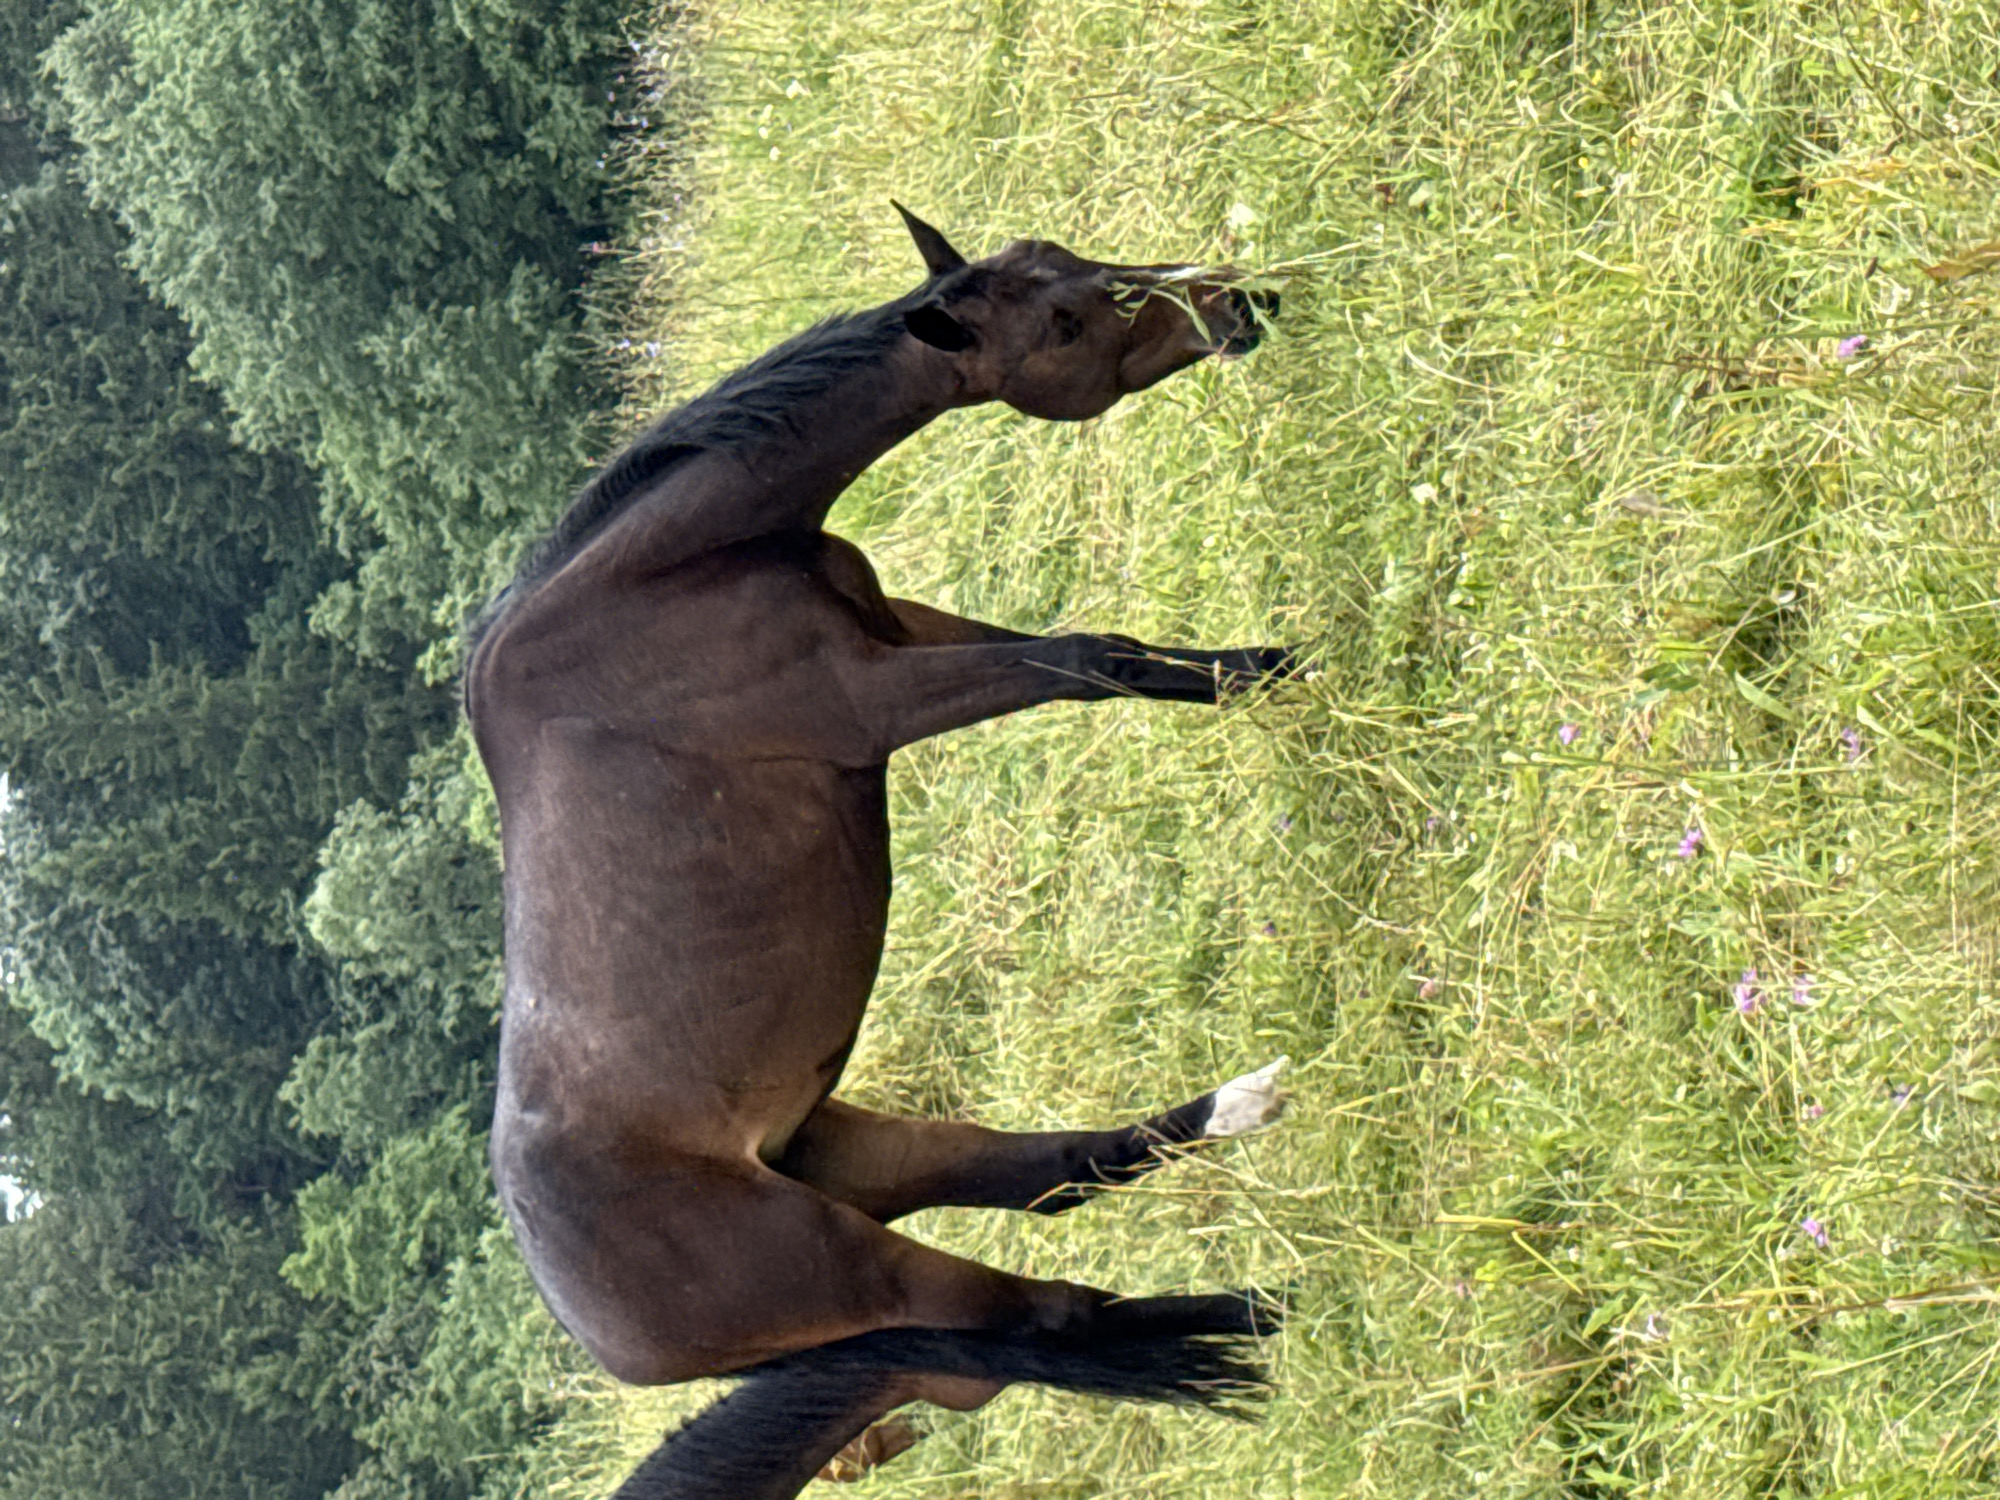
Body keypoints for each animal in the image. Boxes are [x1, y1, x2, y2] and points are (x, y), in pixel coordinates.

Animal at [463, 206, 1291, 1500]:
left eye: (1071, 266)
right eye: (1064, 320)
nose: (1236, 304)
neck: (655, 580)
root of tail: (603, 1332)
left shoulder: (906, 628)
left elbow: (1103, 649)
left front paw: (1261, 670)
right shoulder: (876, 697)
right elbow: (1088, 659)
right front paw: (1260, 678)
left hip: (862, 1156)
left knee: (1049, 1184)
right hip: (873, 1273)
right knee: (1039, 1328)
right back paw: (1268, 1314)